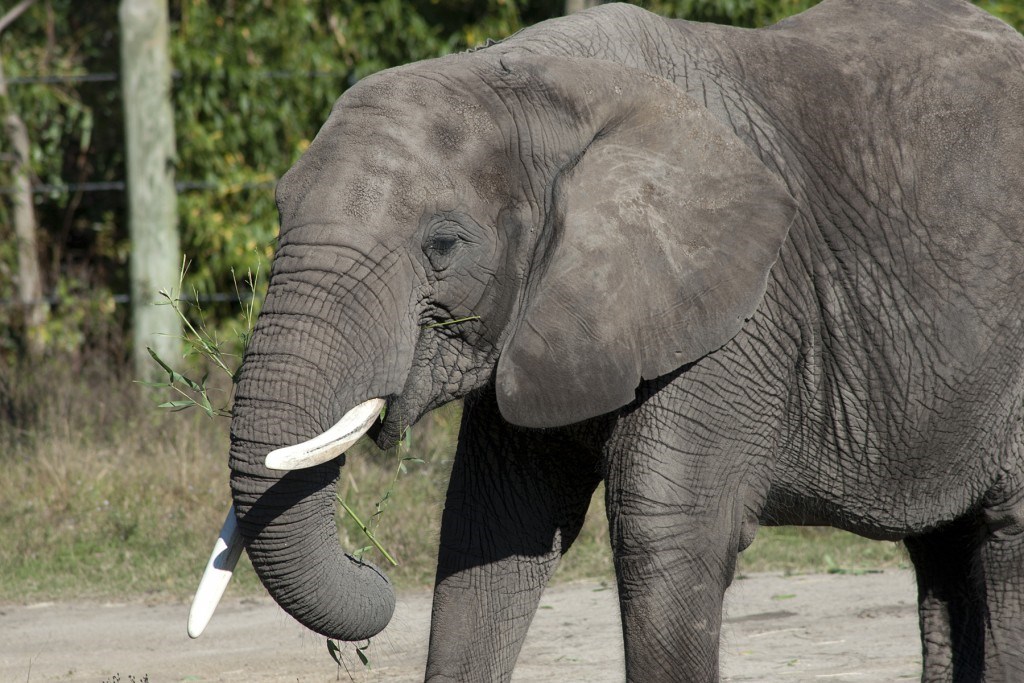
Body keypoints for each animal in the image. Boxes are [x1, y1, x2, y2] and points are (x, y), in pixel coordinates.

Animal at [187, 0, 1024, 680]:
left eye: (444, 245)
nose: (372, 565)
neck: (531, 79)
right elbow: (488, 532)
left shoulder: (731, 317)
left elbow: (666, 540)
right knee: (945, 552)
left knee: (1005, 543)